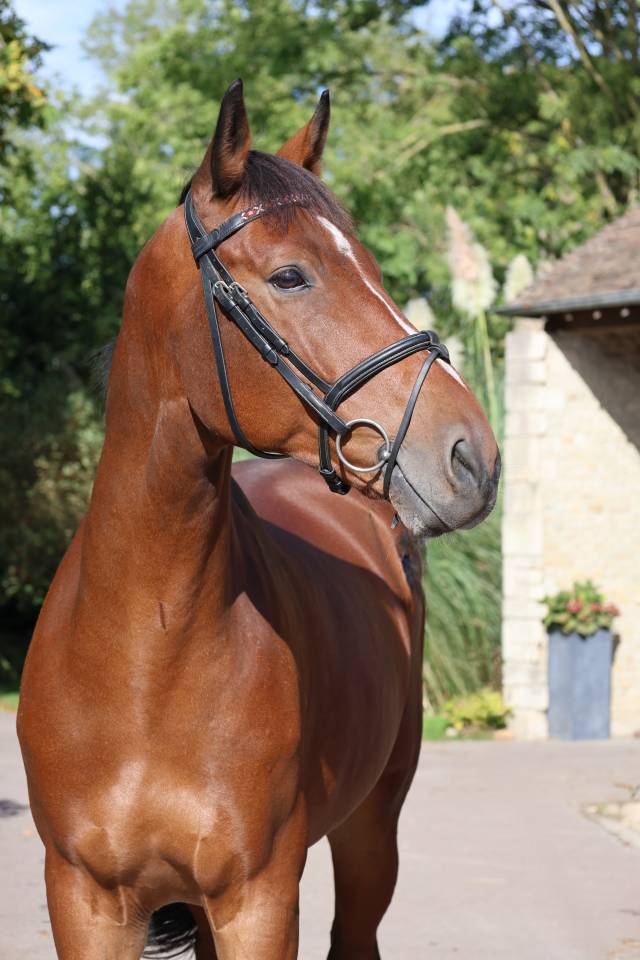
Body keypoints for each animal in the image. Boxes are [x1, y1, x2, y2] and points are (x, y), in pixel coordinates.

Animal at [18, 81, 500, 960]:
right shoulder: (85, 900)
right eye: (291, 275)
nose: (472, 457)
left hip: (371, 831)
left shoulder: (261, 898)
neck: (147, 653)